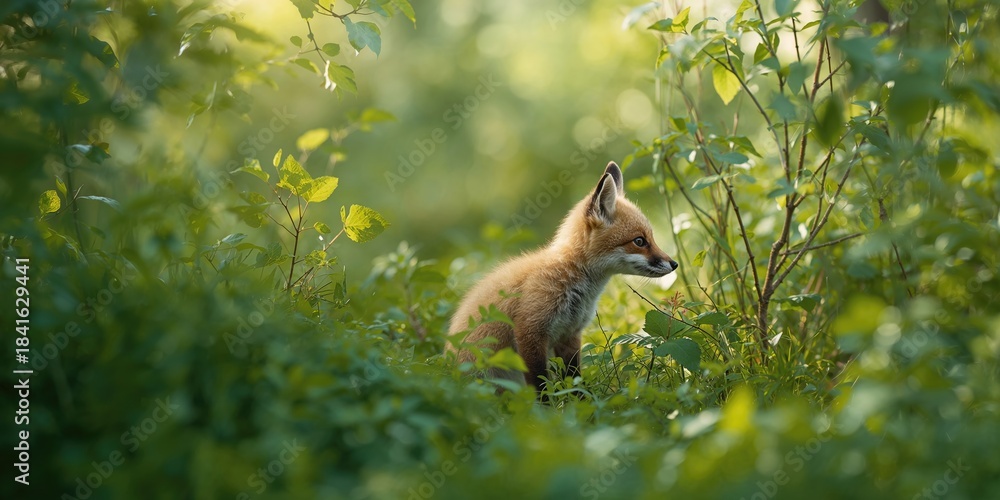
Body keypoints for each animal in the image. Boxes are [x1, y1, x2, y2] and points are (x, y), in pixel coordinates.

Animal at [446, 161, 678, 396]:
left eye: (651, 238)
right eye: (639, 241)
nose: (674, 264)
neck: (571, 281)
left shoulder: (570, 335)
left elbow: (574, 381)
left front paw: (581, 403)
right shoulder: (530, 333)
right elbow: (541, 386)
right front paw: (546, 405)